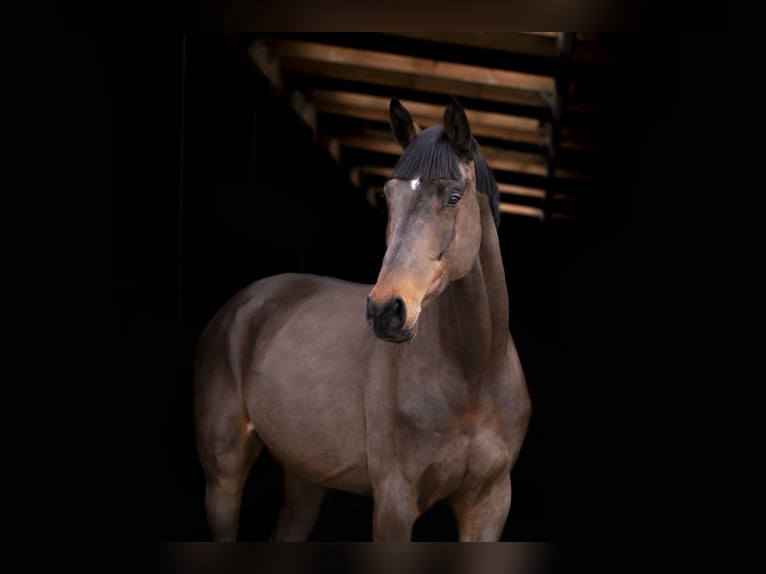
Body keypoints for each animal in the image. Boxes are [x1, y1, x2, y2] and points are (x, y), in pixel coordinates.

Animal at [193, 96, 531, 541]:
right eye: (389, 196)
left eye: (454, 197)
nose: (385, 311)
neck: (474, 373)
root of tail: (239, 306)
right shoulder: (395, 501)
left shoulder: (490, 504)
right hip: (225, 474)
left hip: (306, 477)